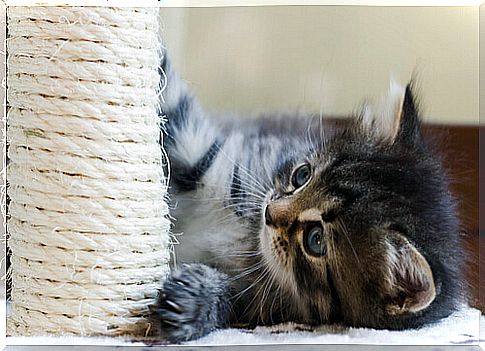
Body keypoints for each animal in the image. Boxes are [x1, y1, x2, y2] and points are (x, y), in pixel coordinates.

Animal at [154, 55, 462, 344]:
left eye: (316, 239)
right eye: (302, 175)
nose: (268, 212)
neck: (246, 234)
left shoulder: (255, 301)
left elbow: (228, 300)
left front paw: (193, 302)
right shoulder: (212, 156)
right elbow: (169, 90)